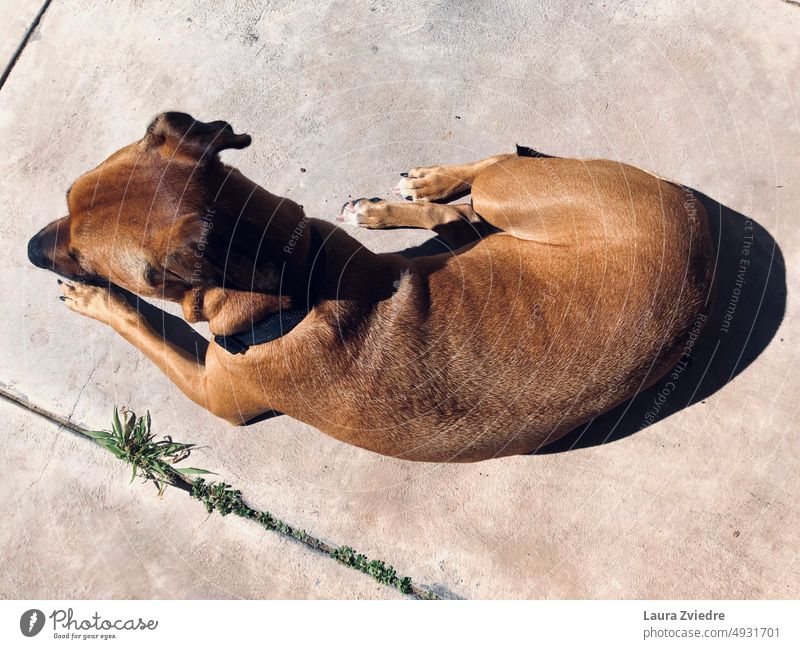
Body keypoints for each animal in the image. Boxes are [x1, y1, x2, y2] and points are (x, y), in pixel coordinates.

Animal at [26, 114, 712, 464]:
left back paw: (430, 183)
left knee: (494, 168)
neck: (297, 279)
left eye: (86, 259)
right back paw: (408, 199)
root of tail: (696, 224)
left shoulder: (213, 393)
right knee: (462, 213)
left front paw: (95, 301)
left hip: (513, 191)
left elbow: (143, 325)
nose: (31, 250)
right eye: (67, 196)